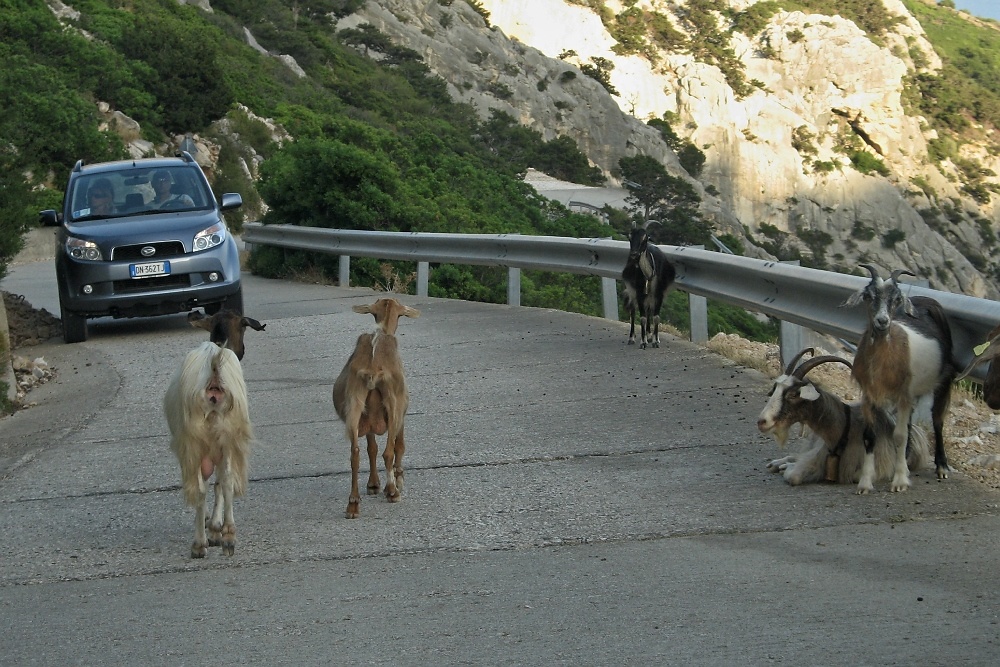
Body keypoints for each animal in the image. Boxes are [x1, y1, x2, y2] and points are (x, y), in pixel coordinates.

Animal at [162, 340, 252, 560]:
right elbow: (220, 483)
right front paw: (216, 530)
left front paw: (211, 530)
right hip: (228, 435)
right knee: (226, 481)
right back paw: (228, 537)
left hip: (194, 443)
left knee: (201, 488)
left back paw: (199, 544)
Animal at [332, 298, 418, 520]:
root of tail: (372, 370)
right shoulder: (402, 412)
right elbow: (399, 446)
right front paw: (397, 481)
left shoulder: (367, 420)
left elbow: (371, 448)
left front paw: (373, 485)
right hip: (393, 404)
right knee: (389, 451)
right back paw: (393, 492)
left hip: (354, 403)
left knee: (354, 453)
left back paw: (353, 505)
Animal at [760, 350, 932, 486]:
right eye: (774, 390)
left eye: (793, 395)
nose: (762, 421)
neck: (845, 428)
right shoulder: (819, 452)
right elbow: (796, 472)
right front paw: (785, 466)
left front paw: (787, 468)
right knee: (796, 455)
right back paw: (776, 463)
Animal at [848, 268, 956, 496]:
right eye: (868, 295)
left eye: (896, 298)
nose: (882, 321)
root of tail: (926, 300)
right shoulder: (869, 394)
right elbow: (869, 436)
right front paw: (865, 483)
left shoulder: (904, 394)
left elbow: (899, 436)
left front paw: (899, 481)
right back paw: (906, 460)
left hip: (943, 380)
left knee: (937, 420)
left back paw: (941, 466)